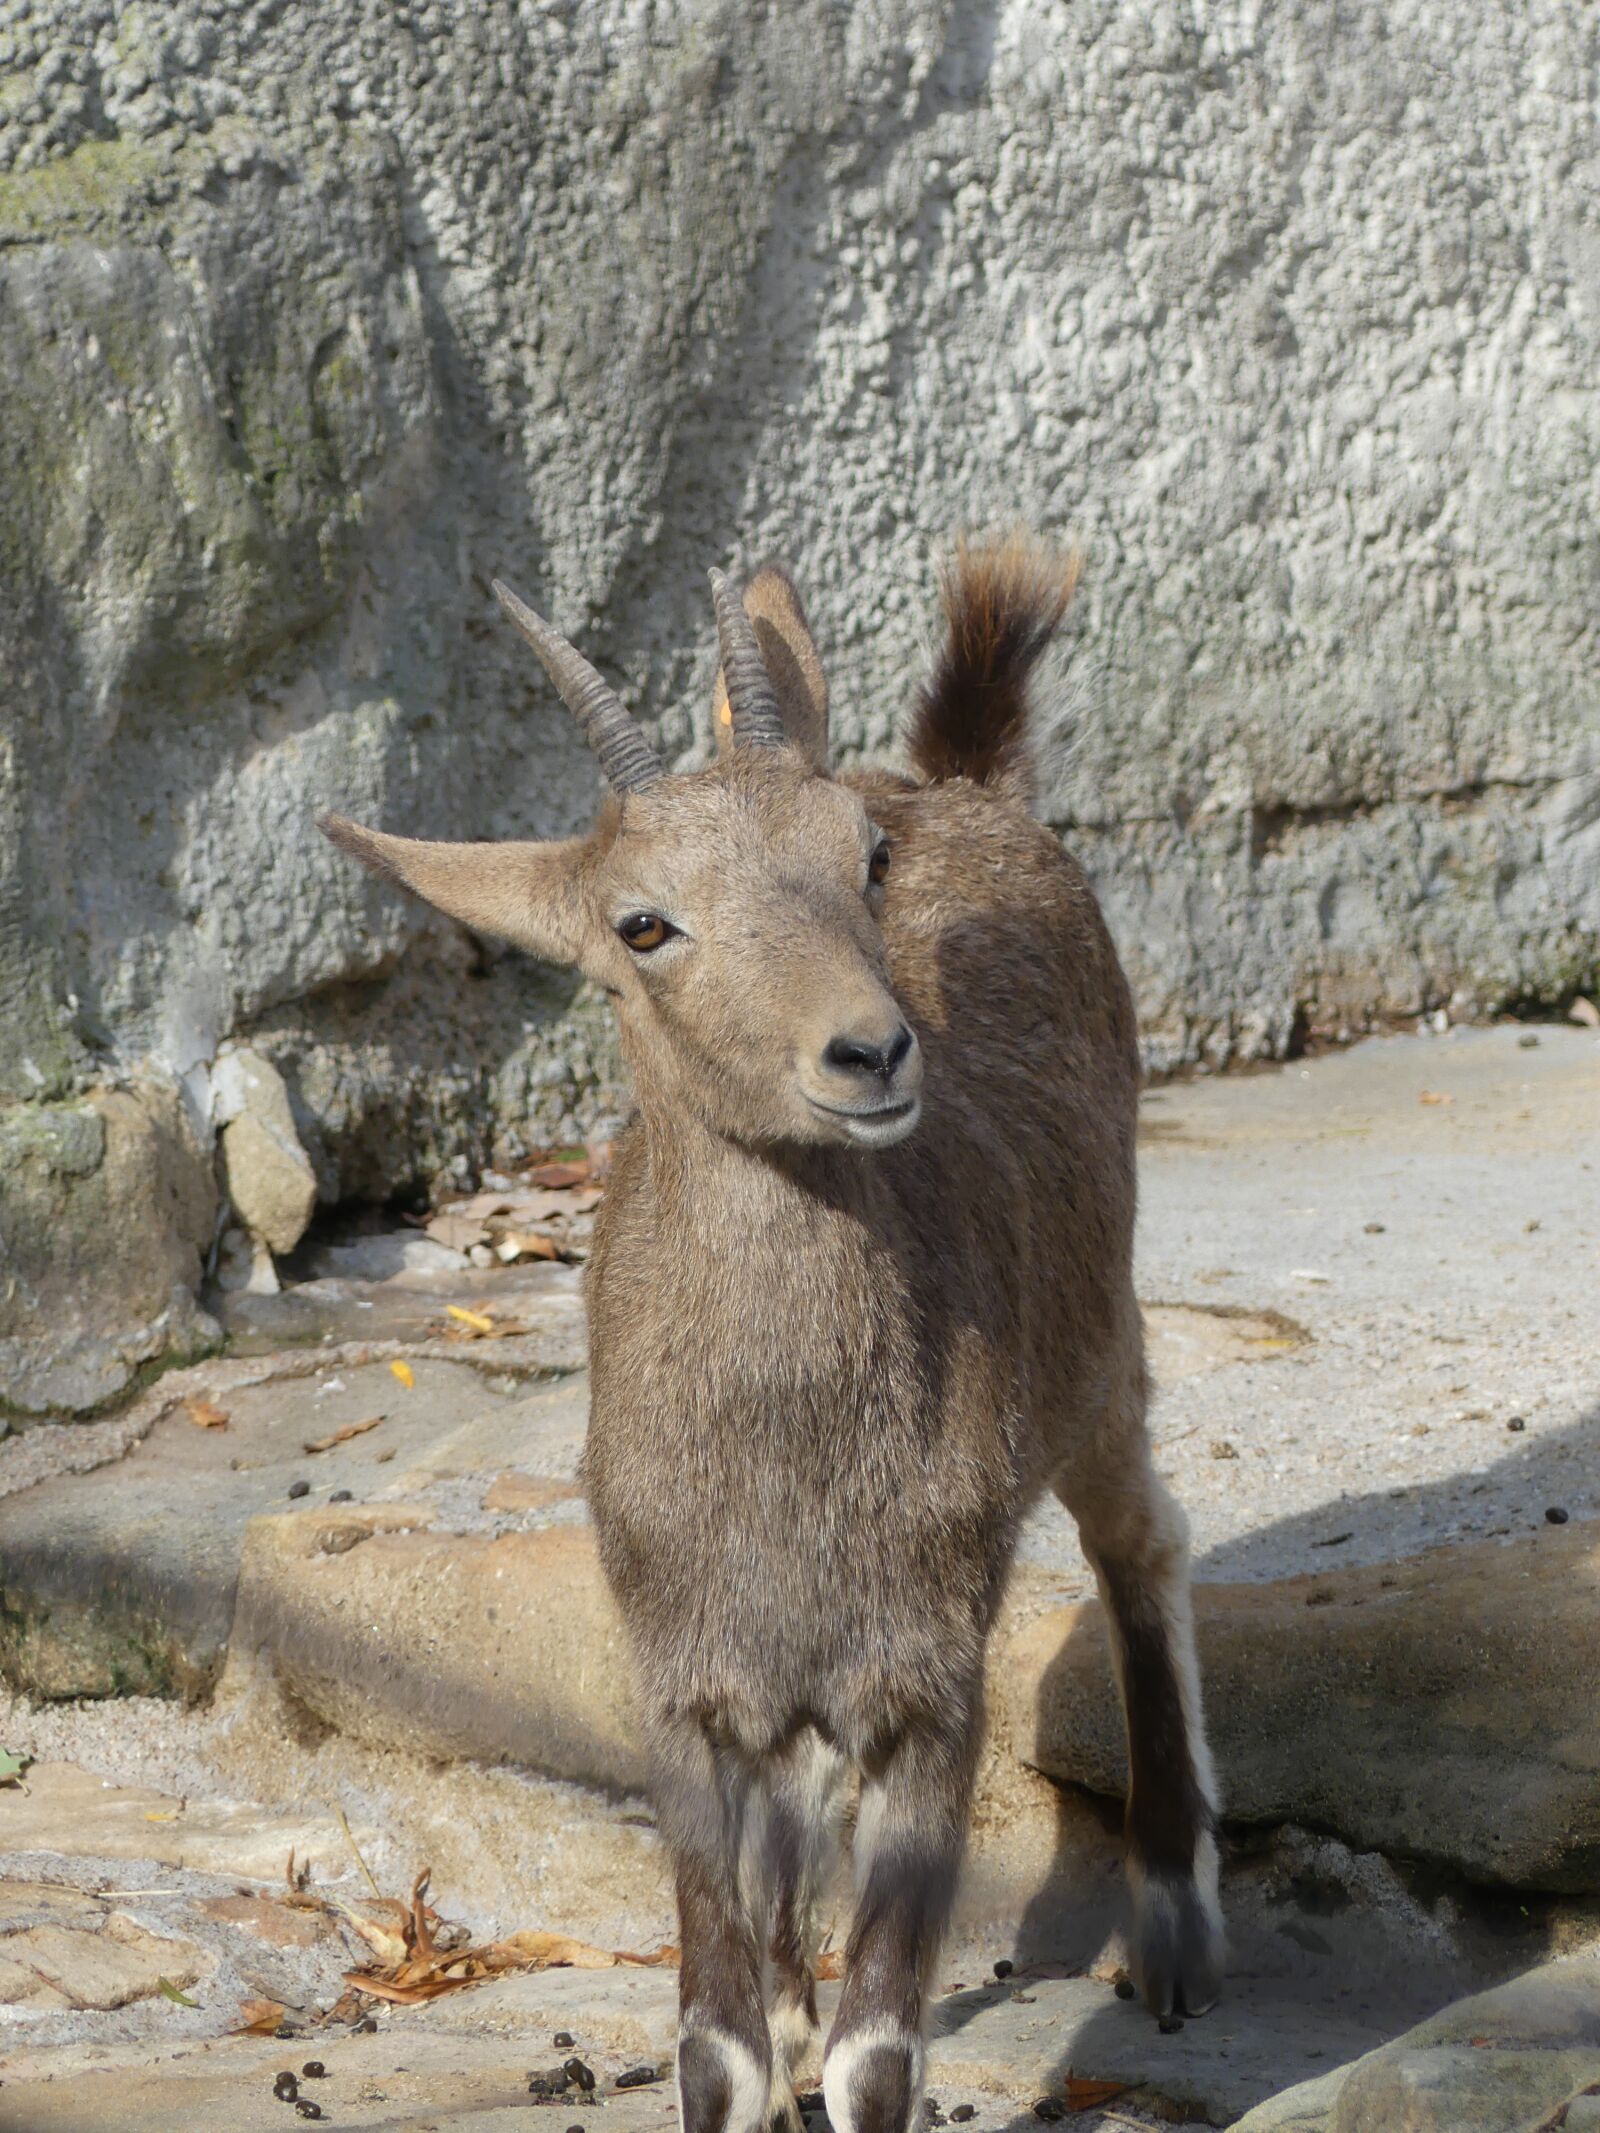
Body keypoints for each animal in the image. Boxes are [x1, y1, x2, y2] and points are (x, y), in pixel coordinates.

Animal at [322, 541, 1222, 2133]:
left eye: (862, 857)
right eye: (643, 922)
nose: (870, 1052)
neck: (787, 1459)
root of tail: (972, 786)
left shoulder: (933, 1673)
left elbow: (884, 2050)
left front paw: (841, 2046)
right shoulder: (681, 1685)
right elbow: (717, 2038)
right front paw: (774, 2036)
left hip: (1098, 1349)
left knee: (1144, 1538)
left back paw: (1173, 1924)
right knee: (801, 1813)